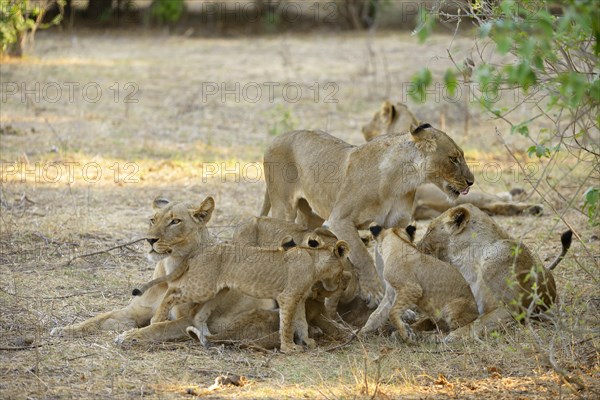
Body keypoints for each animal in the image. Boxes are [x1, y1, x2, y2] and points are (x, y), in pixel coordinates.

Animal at [50, 195, 276, 346]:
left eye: (175, 221)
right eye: (153, 219)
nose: (149, 240)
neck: (169, 269)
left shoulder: (189, 320)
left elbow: (158, 327)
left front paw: (130, 336)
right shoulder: (134, 312)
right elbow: (97, 319)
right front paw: (64, 329)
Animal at [129, 234, 350, 354]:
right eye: (341, 272)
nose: (340, 285)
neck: (314, 263)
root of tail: (201, 250)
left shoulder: (300, 299)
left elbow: (301, 322)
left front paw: (307, 342)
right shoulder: (287, 297)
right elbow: (286, 325)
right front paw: (289, 347)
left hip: (218, 291)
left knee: (199, 315)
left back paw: (207, 336)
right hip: (202, 287)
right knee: (171, 293)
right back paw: (157, 319)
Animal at [260, 123, 476, 304]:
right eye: (453, 158)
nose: (471, 181)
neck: (402, 180)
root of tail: (276, 138)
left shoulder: (393, 224)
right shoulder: (340, 219)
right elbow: (362, 255)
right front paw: (374, 292)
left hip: (312, 215)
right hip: (284, 206)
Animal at [418, 205, 572, 340]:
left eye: (429, 230)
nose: (417, 245)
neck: (467, 261)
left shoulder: (510, 310)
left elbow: (476, 323)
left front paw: (451, 336)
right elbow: (427, 320)